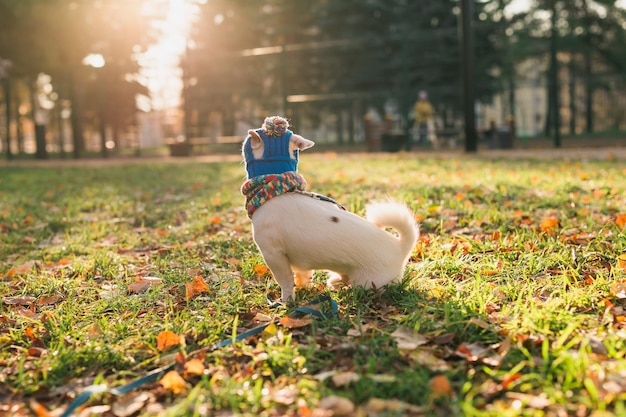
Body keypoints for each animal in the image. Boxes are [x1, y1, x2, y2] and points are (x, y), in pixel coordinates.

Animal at [241, 115, 416, 300]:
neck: (276, 191)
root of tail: (400, 247)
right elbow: (302, 275)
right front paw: (304, 288)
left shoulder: (273, 255)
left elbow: (285, 281)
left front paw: (286, 300)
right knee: (342, 278)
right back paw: (336, 281)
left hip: (367, 283)